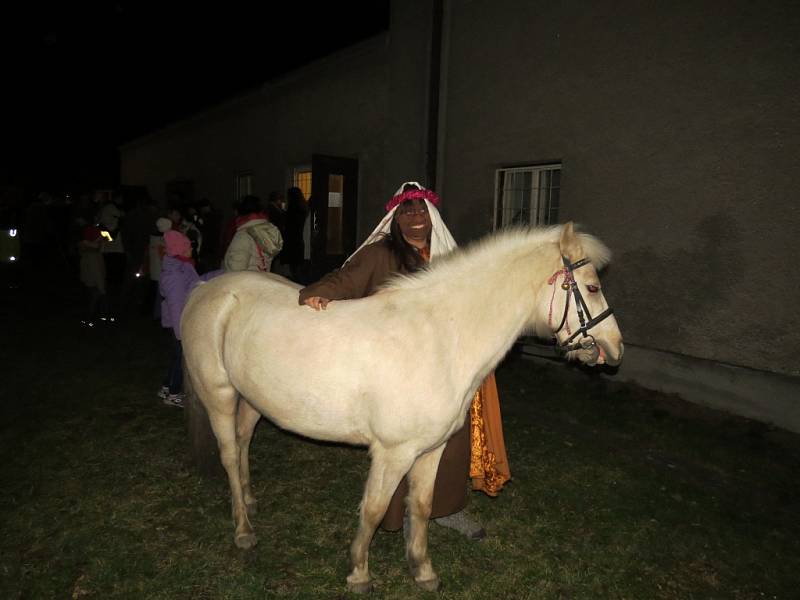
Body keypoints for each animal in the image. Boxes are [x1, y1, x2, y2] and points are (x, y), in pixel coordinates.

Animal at [183, 220, 624, 592]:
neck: (439, 335)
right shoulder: (392, 453)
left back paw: (249, 501)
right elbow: (375, 509)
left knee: (243, 442)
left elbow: (423, 506)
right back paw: (243, 530)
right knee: (229, 453)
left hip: (253, 399)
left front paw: (423, 570)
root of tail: (205, 289)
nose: (614, 348)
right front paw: (359, 573)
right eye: (592, 287)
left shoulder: (430, 450)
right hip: (219, 395)